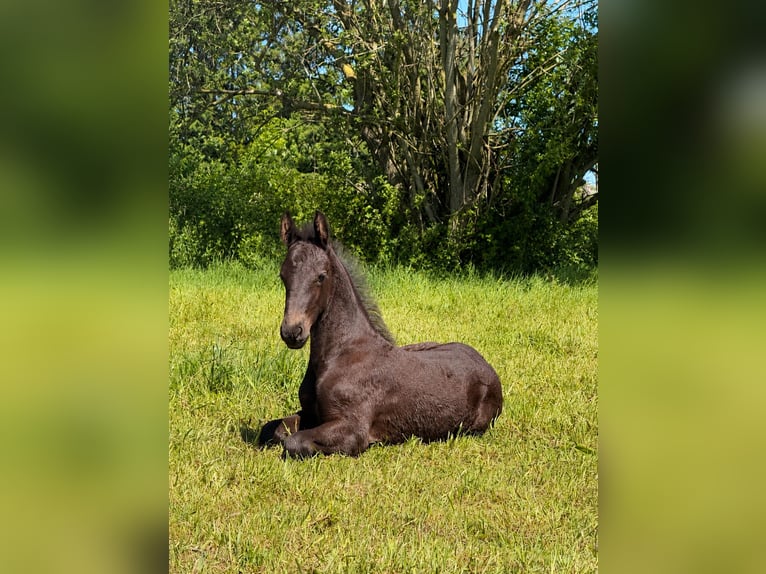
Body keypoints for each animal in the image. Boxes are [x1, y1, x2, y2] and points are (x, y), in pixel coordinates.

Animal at [256, 211, 503, 458]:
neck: (341, 353)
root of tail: (486, 364)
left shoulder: (352, 430)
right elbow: (272, 429)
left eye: (321, 276)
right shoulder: (309, 413)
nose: (292, 331)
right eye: (283, 276)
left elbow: (293, 442)